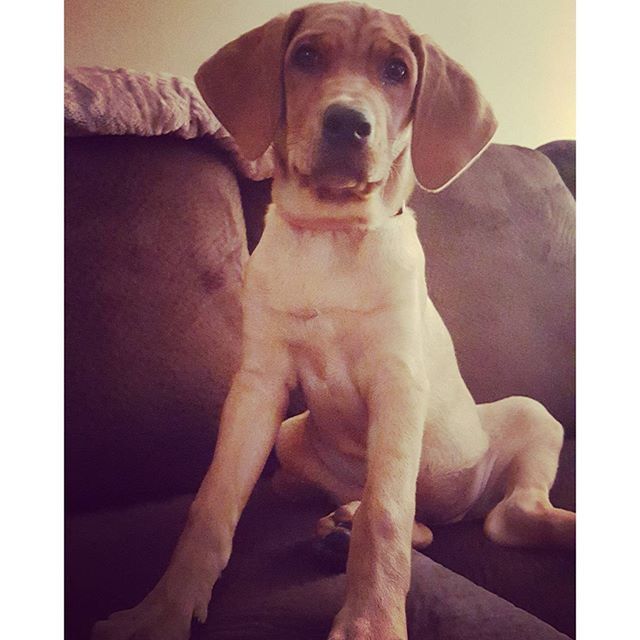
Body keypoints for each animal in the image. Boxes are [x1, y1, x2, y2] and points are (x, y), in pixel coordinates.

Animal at [92, 5, 576, 640]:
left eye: (397, 71)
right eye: (306, 57)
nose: (348, 123)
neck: (330, 233)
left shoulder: (398, 385)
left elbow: (387, 514)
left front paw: (371, 624)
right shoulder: (259, 387)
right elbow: (212, 504)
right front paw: (162, 612)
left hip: (529, 412)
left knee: (501, 514)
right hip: (292, 436)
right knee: (425, 517)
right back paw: (341, 523)